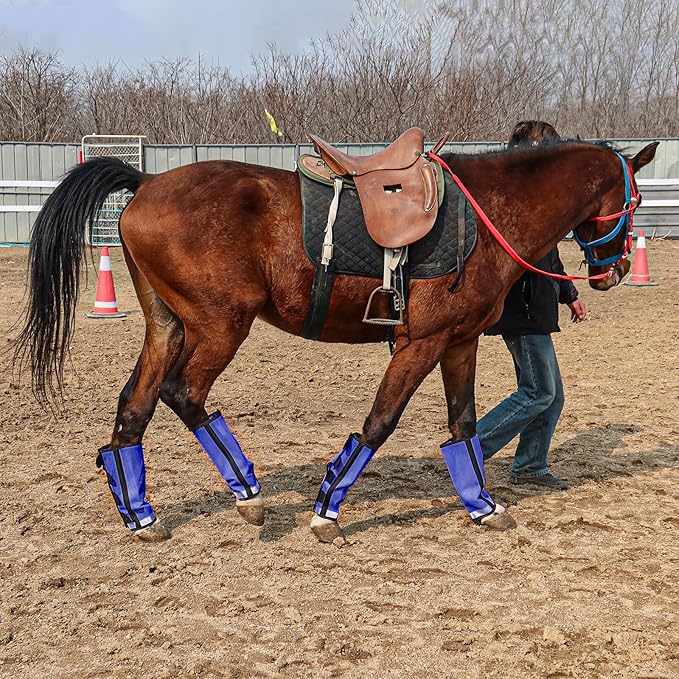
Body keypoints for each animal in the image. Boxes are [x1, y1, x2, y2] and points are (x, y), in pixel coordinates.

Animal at [13, 138, 658, 543]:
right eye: (634, 200)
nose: (616, 269)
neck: (487, 214)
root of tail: (146, 182)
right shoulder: (420, 343)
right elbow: (379, 422)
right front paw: (326, 511)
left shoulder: (459, 343)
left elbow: (464, 426)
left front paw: (483, 505)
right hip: (220, 326)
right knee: (182, 393)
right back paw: (248, 494)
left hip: (168, 327)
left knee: (134, 407)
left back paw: (140, 515)